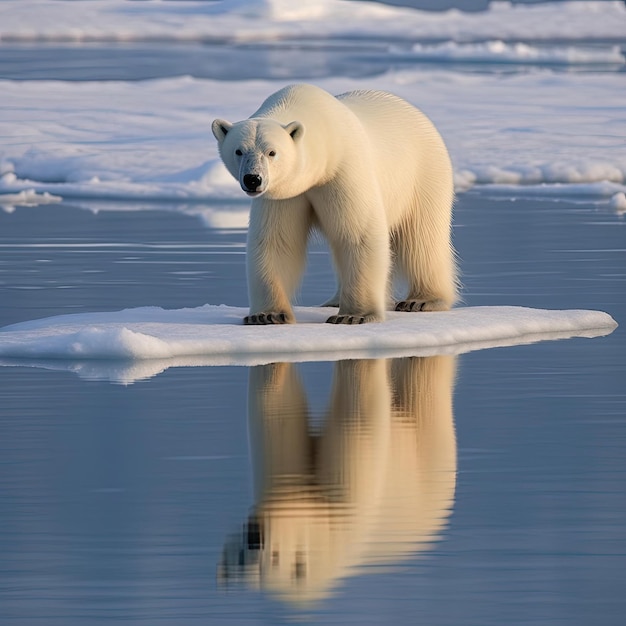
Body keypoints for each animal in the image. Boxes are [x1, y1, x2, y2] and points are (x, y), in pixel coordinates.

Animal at [211, 83, 454, 324]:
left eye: (272, 152)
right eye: (239, 150)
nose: (253, 179)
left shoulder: (344, 169)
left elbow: (358, 234)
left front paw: (353, 316)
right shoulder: (284, 192)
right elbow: (277, 240)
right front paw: (267, 315)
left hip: (424, 173)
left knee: (422, 238)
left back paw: (422, 300)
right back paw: (334, 300)